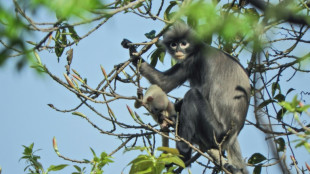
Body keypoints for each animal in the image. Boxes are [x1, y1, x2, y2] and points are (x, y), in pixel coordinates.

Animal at [122, 22, 251, 173]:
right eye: (173, 44)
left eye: (183, 43)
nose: (178, 49)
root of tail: (232, 134)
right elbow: (164, 82)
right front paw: (132, 50)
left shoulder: (198, 60)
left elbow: (199, 90)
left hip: (216, 133)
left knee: (192, 95)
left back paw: (182, 153)